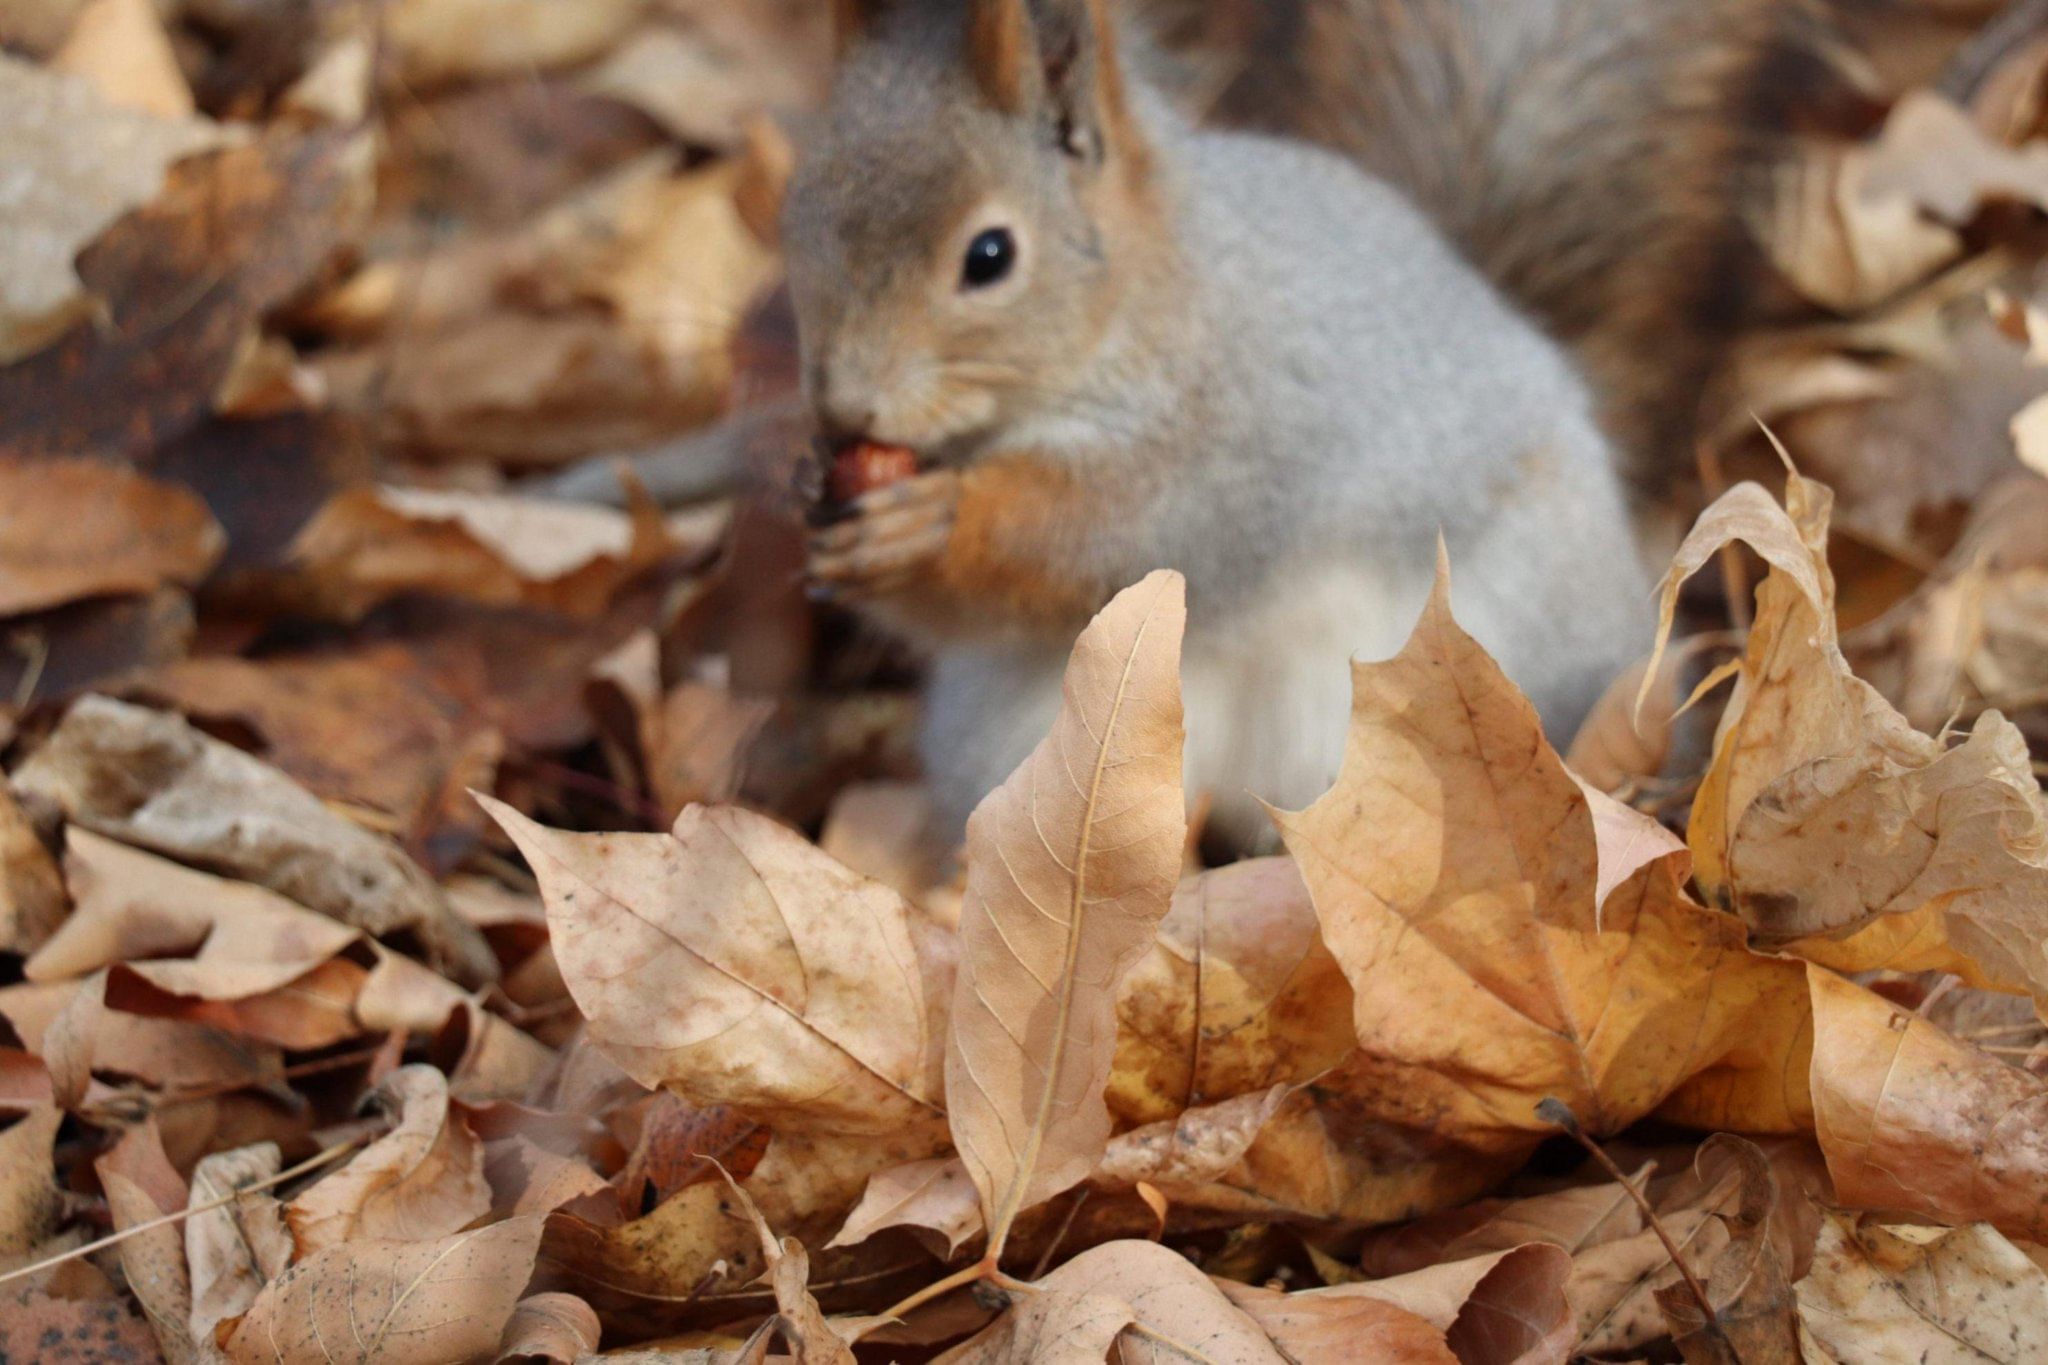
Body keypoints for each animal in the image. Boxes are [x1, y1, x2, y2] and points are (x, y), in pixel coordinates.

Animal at [552, 0, 1867, 855]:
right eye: (797, 215)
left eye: (990, 256)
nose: (843, 407)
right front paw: (804, 482)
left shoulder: (1242, 431)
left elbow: (1108, 532)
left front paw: (937, 523)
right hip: (1031, 737)